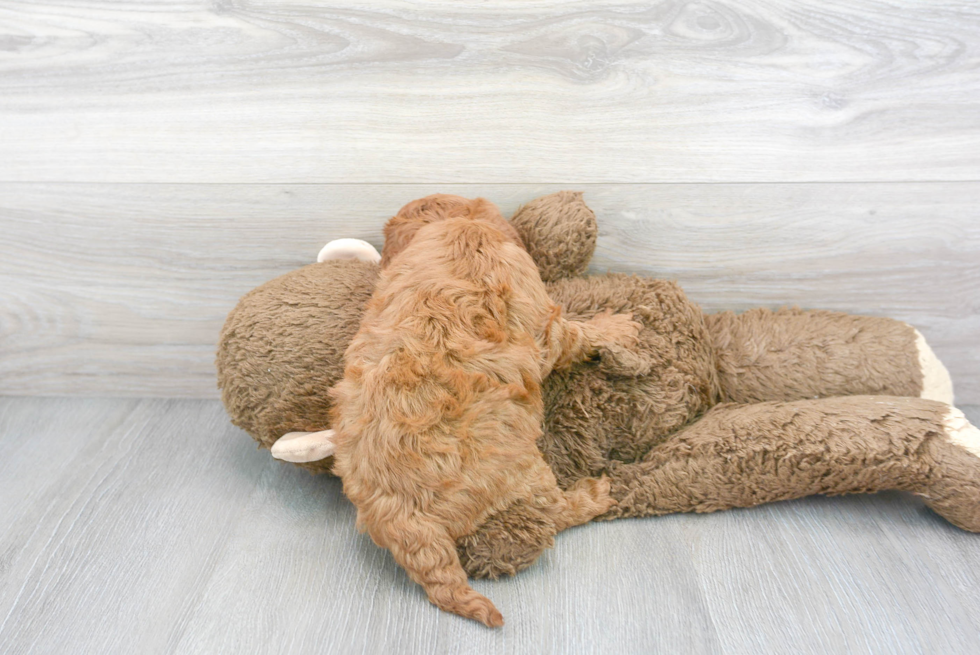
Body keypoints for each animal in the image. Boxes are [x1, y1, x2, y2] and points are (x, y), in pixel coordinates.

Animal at [332, 193, 644, 624]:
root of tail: (400, 512)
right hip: (523, 471)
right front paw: (615, 328)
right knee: (555, 510)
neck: (460, 226)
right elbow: (576, 335)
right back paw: (595, 494)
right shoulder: (544, 324)